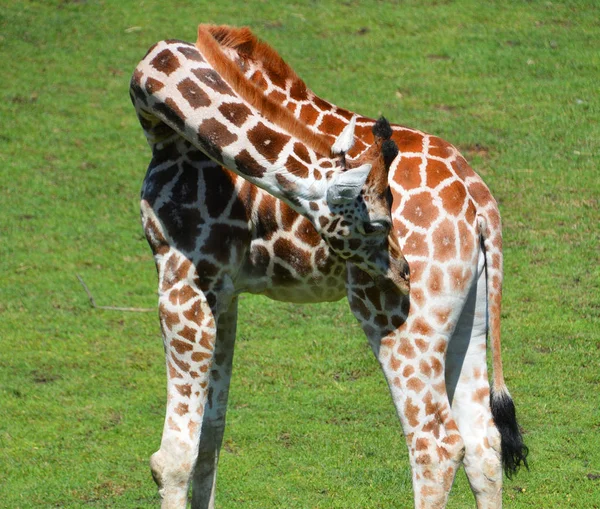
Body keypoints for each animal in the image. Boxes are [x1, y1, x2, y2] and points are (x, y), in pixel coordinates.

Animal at [130, 26, 524, 508]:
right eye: (378, 223)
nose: (405, 273)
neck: (159, 110)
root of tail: (480, 199)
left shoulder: (181, 274)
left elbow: (173, 458)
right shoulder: (221, 287)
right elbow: (212, 434)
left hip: (400, 321)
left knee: (436, 442)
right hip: (472, 311)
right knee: (484, 442)